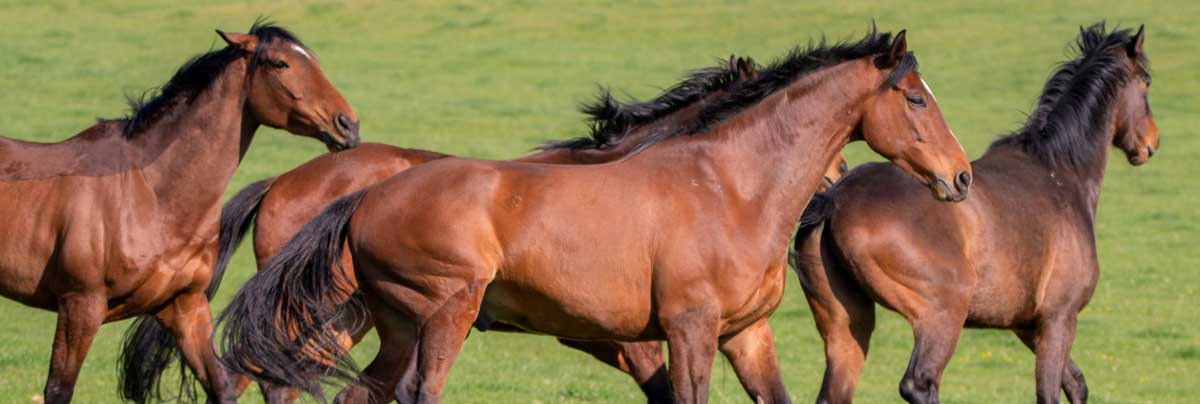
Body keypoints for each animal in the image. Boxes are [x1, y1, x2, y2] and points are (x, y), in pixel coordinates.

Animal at [0, 22, 360, 402]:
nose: (349, 125)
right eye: (280, 63)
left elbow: (221, 385)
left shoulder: (184, 305)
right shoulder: (80, 305)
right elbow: (59, 389)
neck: (150, 194)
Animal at [792, 22, 1156, 402]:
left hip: (846, 329)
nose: (1151, 143)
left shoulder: (1026, 325)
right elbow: (1050, 391)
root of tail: (835, 199)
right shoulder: (1059, 319)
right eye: (1146, 81)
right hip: (944, 314)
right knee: (919, 383)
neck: (1061, 172)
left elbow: (1076, 382)